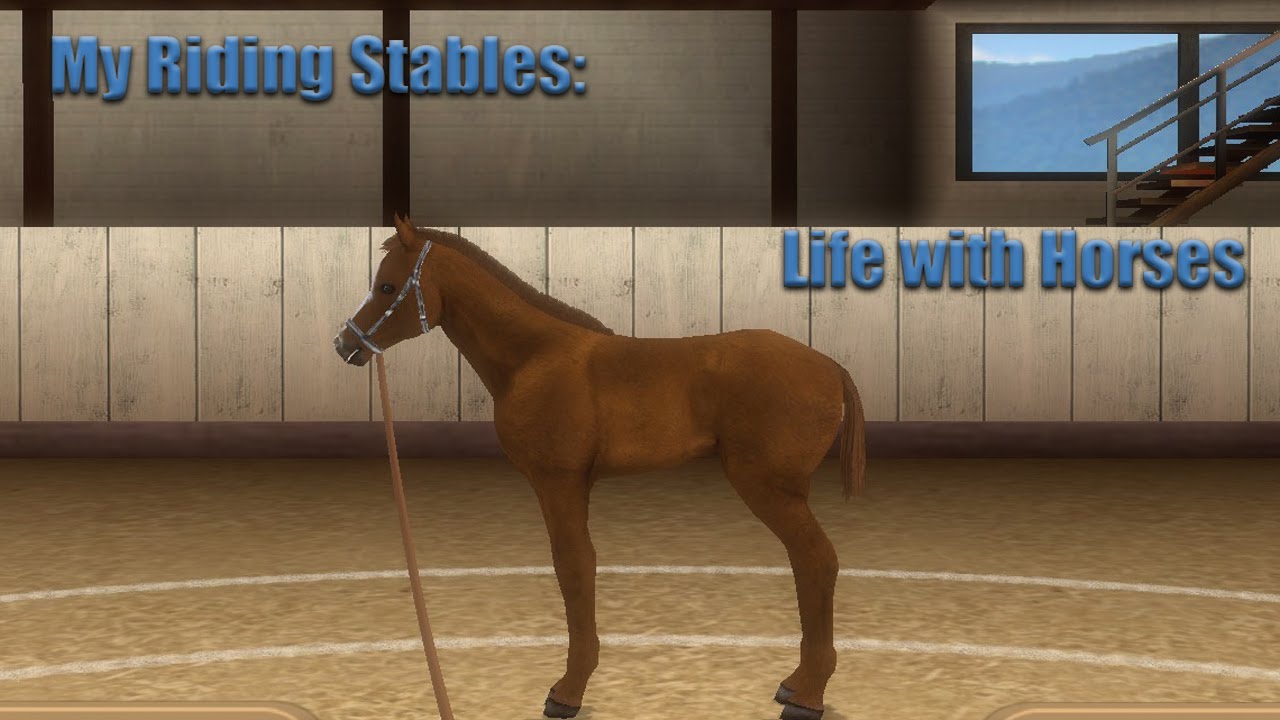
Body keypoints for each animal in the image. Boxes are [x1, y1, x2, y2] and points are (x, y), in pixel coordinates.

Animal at [333, 215, 866, 720]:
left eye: (386, 287)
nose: (344, 345)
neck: (535, 358)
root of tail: (830, 365)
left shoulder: (559, 482)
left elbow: (574, 567)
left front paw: (567, 692)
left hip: (769, 487)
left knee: (817, 560)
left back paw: (808, 697)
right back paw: (795, 684)